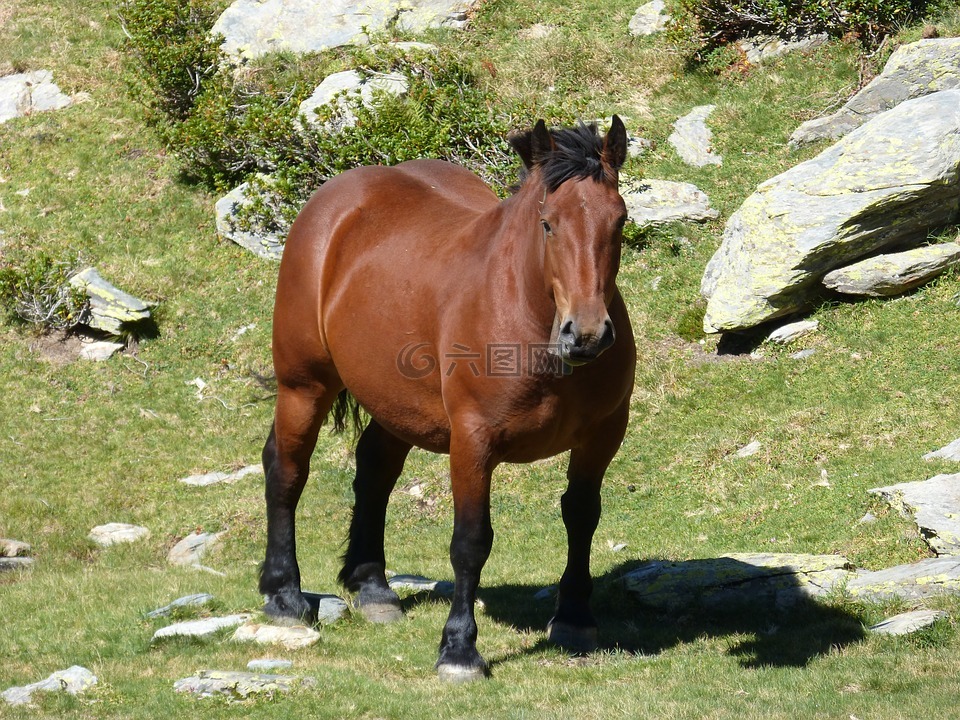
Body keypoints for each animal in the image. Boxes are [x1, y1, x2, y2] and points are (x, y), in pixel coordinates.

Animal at [260, 116, 636, 680]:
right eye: (548, 224)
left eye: (619, 220)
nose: (586, 334)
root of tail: (334, 201)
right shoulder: (473, 440)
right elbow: (471, 542)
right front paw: (459, 649)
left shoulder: (601, 437)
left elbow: (581, 517)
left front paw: (574, 617)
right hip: (304, 386)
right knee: (286, 468)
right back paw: (283, 594)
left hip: (393, 403)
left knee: (374, 470)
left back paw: (373, 587)